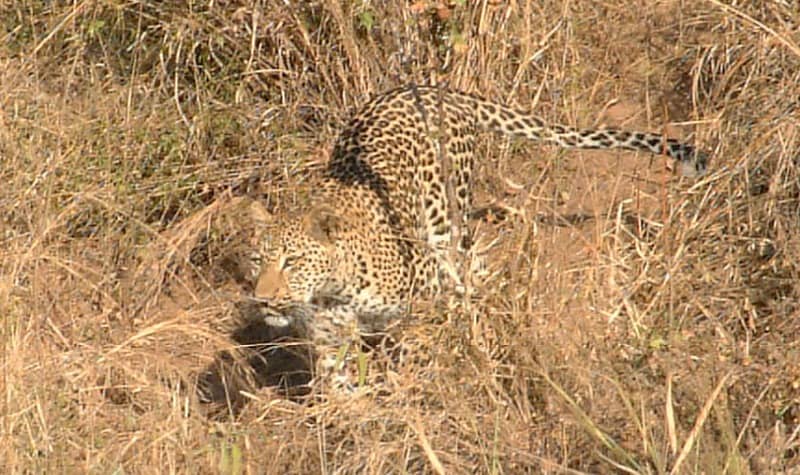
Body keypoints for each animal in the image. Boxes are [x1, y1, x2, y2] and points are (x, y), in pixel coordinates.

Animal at [250, 84, 707, 390]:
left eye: (292, 262)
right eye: (258, 261)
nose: (263, 299)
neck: (334, 289)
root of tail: (435, 89)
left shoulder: (421, 303)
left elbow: (418, 351)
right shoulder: (329, 338)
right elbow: (340, 384)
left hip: (446, 222)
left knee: (473, 268)